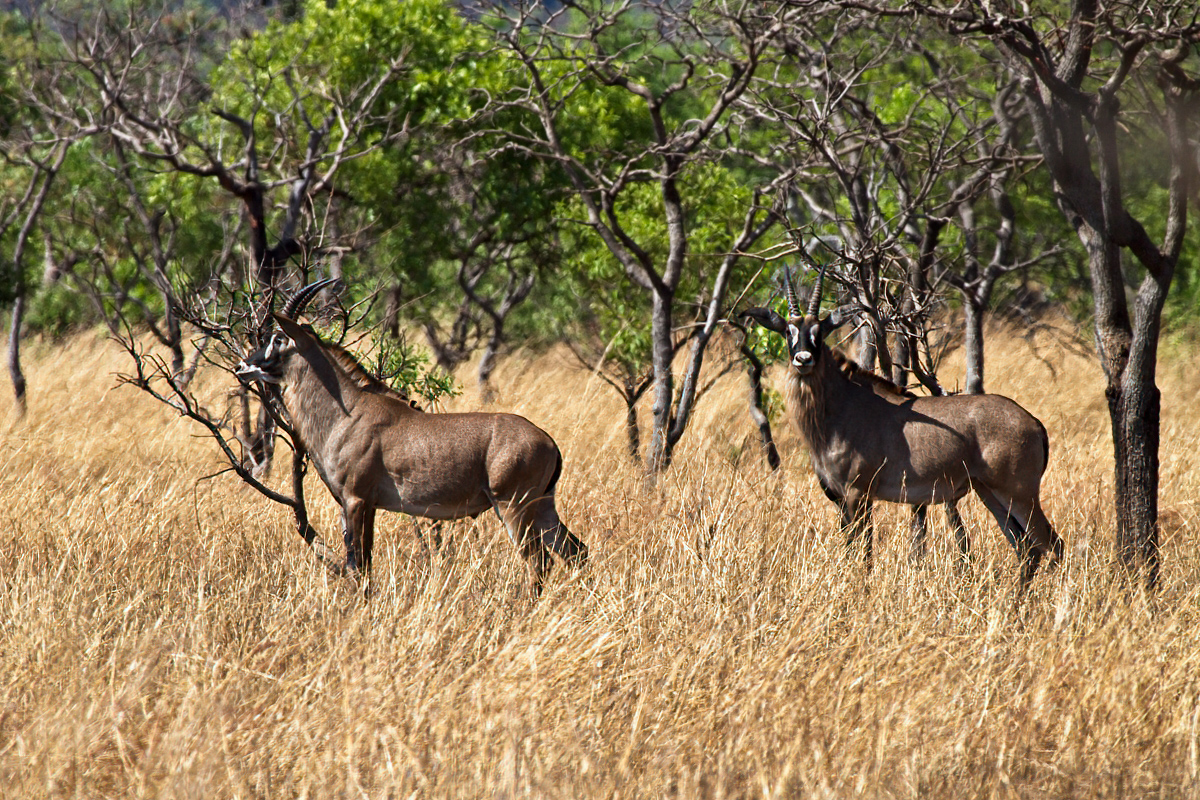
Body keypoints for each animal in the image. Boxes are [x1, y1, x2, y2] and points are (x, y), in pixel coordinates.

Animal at [235, 278, 585, 597]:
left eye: (278, 338)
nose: (242, 365)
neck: (348, 410)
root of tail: (548, 442)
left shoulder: (355, 499)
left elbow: (357, 563)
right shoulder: (367, 505)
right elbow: (365, 561)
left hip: (513, 507)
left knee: (539, 561)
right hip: (543, 506)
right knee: (576, 551)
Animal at [744, 266, 1065, 592]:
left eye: (819, 332)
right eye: (788, 331)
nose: (803, 359)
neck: (840, 407)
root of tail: (1033, 422)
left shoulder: (858, 495)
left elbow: (863, 553)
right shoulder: (838, 498)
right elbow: (850, 549)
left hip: (1019, 494)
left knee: (1052, 545)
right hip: (990, 493)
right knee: (1026, 548)